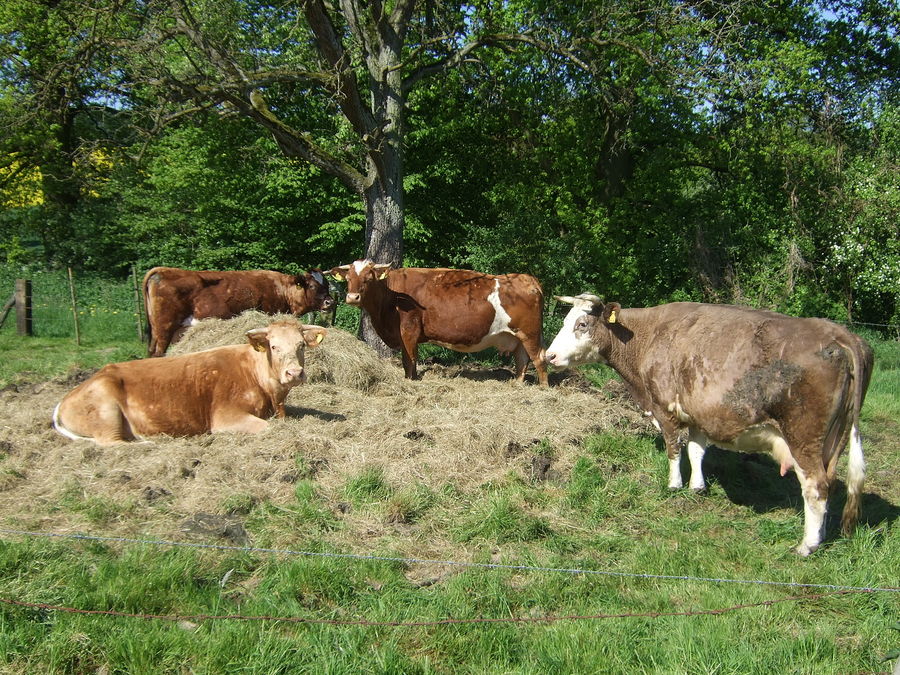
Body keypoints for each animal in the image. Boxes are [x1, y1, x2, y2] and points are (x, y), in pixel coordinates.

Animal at [52, 320, 326, 446]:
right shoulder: (224, 417)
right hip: (105, 408)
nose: (294, 373)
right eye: (273, 346)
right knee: (112, 443)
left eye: (301, 345)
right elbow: (268, 428)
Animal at [144, 266, 334, 356]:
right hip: (165, 329)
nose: (329, 301)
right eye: (312, 285)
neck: (281, 289)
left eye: (326, 284)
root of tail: (162, 270)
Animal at [326, 260, 544, 386]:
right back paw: (517, 385)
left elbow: (409, 360)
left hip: (530, 334)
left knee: (539, 360)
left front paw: (411, 381)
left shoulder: (409, 330)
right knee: (522, 361)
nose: (352, 297)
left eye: (369, 277)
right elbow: (408, 360)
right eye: (348, 278)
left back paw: (543, 389)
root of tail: (526, 278)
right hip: (517, 337)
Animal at [544, 296, 876, 556]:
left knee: (815, 486)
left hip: (803, 436)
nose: (549, 355)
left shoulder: (665, 408)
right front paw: (697, 487)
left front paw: (674, 485)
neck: (648, 336)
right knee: (829, 483)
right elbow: (696, 451)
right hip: (835, 437)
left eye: (582, 325)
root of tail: (839, 333)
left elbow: (674, 449)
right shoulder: (698, 413)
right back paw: (820, 536)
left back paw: (807, 545)